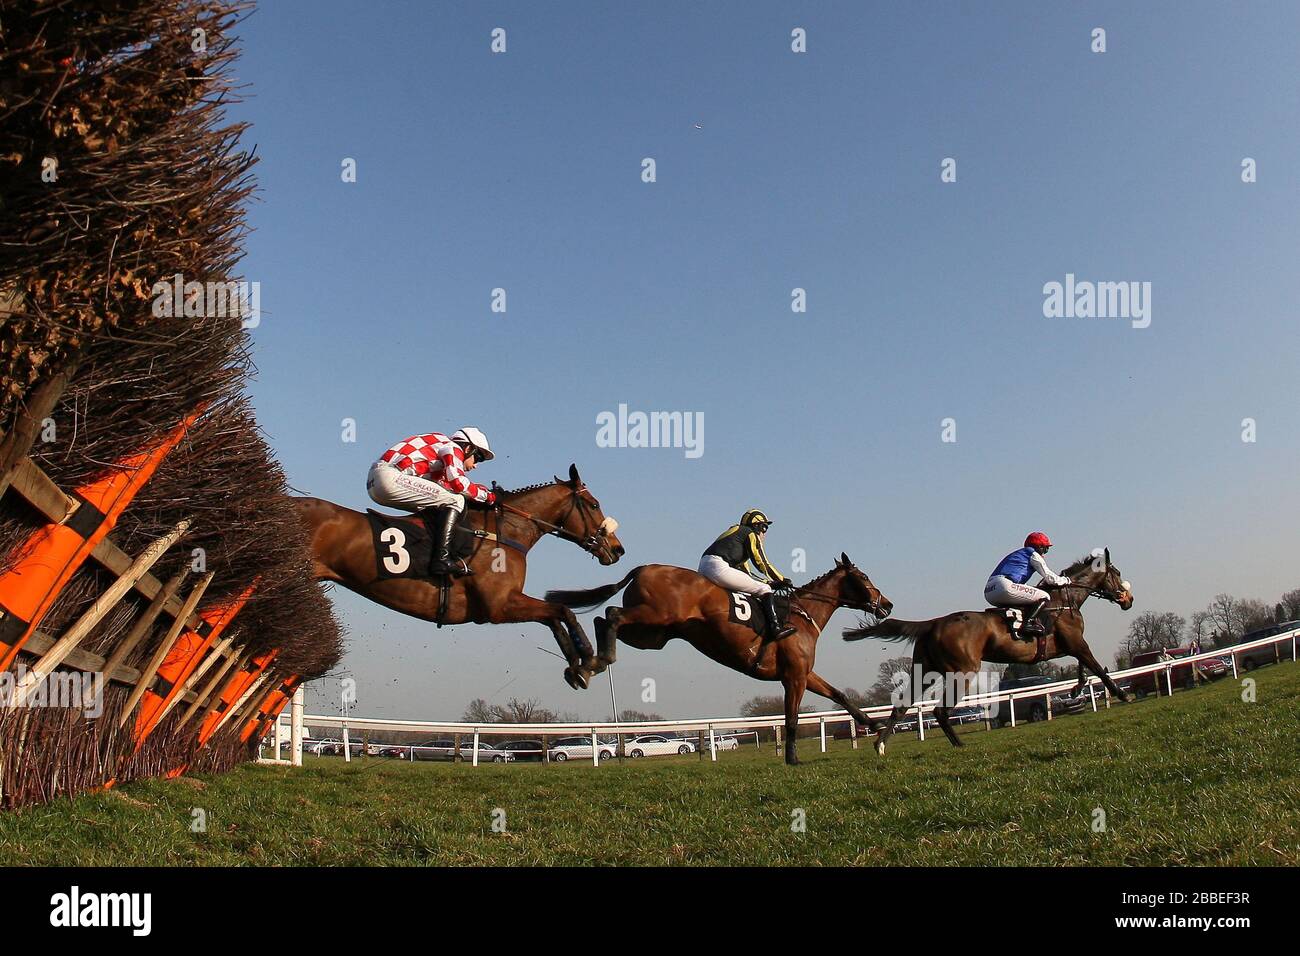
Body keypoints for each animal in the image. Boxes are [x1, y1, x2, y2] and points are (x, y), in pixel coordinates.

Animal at [295, 463, 624, 686]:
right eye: (594, 504)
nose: (617, 549)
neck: (503, 532)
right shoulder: (498, 606)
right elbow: (562, 610)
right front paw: (592, 659)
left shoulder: (507, 602)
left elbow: (554, 617)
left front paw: (577, 668)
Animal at [548, 556, 894, 764]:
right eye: (863, 576)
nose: (887, 604)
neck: (802, 615)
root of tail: (644, 568)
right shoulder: (793, 676)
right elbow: (792, 718)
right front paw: (792, 758)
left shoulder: (805, 674)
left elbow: (839, 694)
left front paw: (875, 726)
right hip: (654, 616)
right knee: (611, 614)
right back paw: (589, 662)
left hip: (653, 636)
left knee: (605, 620)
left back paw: (588, 664)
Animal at [842, 548, 1128, 759]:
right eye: (1116, 573)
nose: (1128, 599)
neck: (1063, 601)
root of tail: (933, 623)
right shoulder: (1077, 643)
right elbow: (1096, 667)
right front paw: (1121, 694)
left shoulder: (1070, 647)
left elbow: (1083, 667)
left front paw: (1076, 689)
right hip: (963, 672)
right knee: (940, 711)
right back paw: (958, 745)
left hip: (924, 671)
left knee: (903, 703)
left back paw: (880, 744)